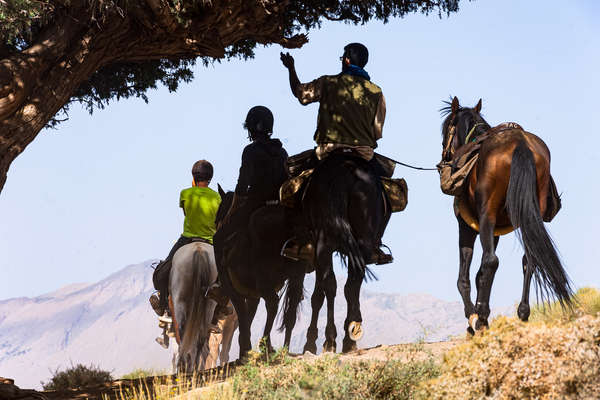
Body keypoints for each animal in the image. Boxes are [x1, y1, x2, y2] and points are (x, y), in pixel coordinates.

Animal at [169, 239, 237, 374]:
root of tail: (199, 251)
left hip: (180, 301)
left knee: (188, 335)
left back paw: (188, 365)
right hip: (209, 305)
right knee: (203, 339)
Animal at [213, 188, 308, 360]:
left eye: (218, 216)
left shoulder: (236, 290)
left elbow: (243, 316)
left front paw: (245, 350)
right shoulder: (253, 295)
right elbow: (248, 317)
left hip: (264, 280)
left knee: (273, 303)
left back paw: (265, 346)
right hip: (296, 277)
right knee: (290, 311)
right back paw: (283, 348)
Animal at [298, 152, 390, 354]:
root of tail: (345, 170)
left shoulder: (318, 251)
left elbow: (318, 296)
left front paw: (310, 341)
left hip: (324, 244)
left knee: (331, 285)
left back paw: (330, 340)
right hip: (361, 241)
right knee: (352, 284)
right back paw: (350, 334)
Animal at [440, 95, 572, 332]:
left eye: (446, 131)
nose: (443, 158)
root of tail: (520, 143)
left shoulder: (468, 225)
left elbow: (465, 277)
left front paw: (473, 316)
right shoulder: (496, 231)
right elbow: (480, 274)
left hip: (487, 216)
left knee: (492, 260)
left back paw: (482, 316)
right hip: (530, 216)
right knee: (530, 260)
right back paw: (523, 313)